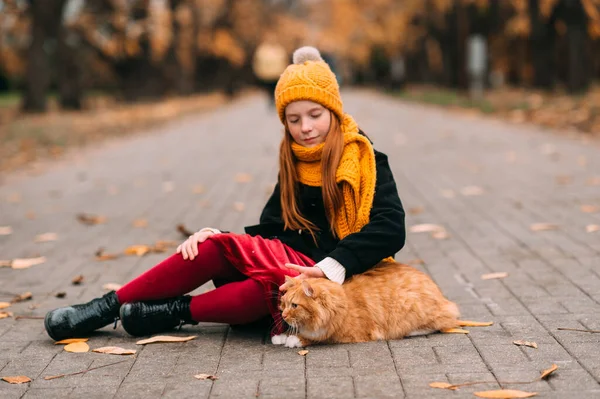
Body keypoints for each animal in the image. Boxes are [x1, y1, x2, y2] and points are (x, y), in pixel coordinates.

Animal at [272, 262, 460, 346]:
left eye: (294, 306)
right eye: (284, 304)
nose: (283, 315)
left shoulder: (345, 335)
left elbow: (317, 338)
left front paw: (295, 339)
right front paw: (282, 336)